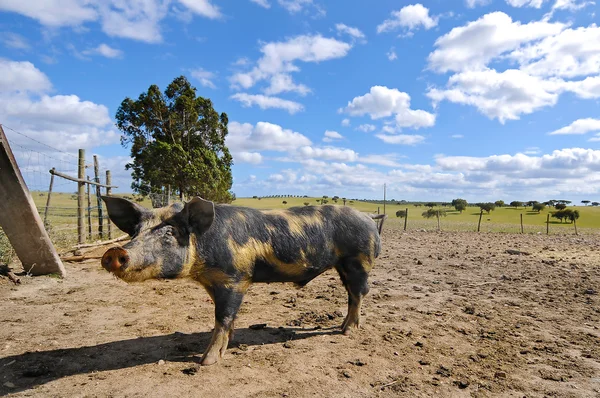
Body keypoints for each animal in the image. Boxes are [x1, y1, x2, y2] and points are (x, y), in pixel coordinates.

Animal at [100, 196, 384, 366]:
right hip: (345, 266)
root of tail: (369, 218)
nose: (115, 251)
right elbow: (227, 319)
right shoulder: (215, 283)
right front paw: (229, 342)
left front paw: (206, 361)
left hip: (359, 261)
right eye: (135, 232)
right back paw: (343, 327)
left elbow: (222, 317)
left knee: (360, 293)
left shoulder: (235, 279)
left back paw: (347, 331)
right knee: (352, 295)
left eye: (169, 232)